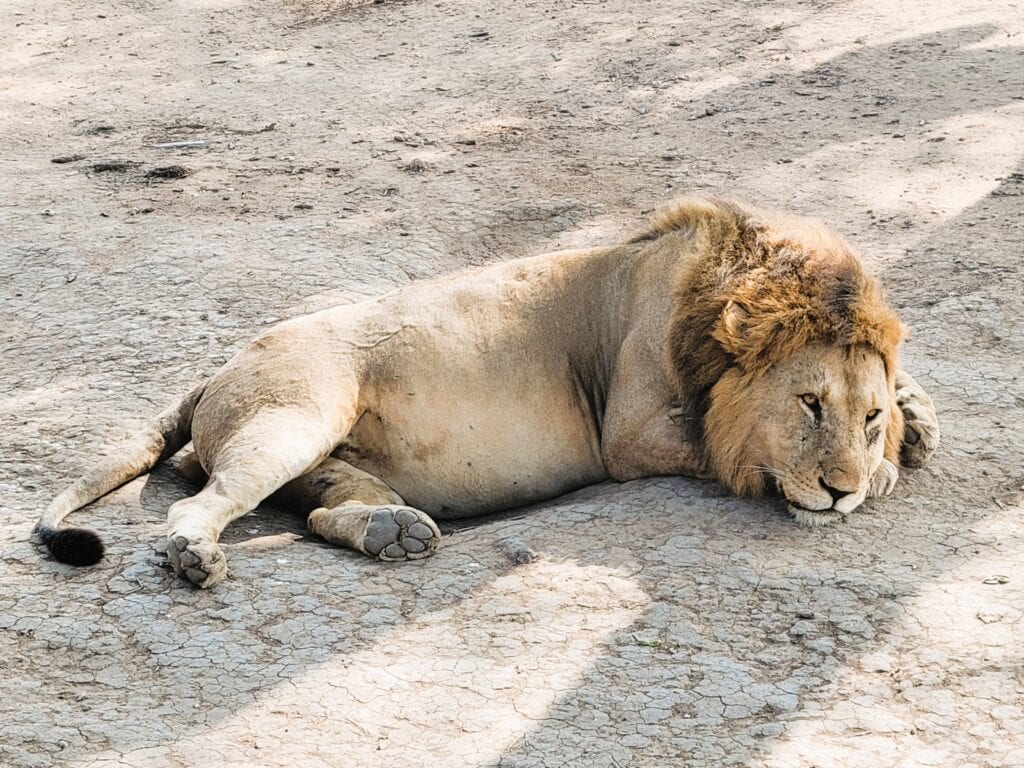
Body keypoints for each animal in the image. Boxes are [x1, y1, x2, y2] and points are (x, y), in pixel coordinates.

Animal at [37, 196, 939, 587]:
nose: (838, 492)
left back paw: (392, 534)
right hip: (296, 413)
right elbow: (721, 449)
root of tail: (213, 370)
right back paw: (195, 556)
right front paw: (880, 474)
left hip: (318, 452)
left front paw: (914, 420)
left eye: (864, 415)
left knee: (321, 511)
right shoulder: (629, 432)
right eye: (809, 405)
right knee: (202, 503)